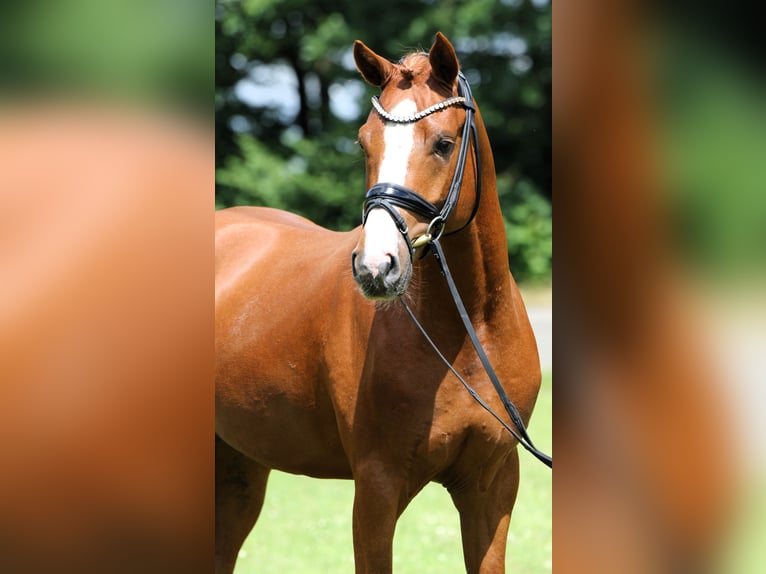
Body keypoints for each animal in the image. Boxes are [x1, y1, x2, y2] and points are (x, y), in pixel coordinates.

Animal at [213, 33, 544, 572]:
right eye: (364, 142)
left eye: (444, 143)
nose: (376, 267)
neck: (468, 333)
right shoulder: (377, 488)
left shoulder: (492, 486)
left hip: (239, 466)